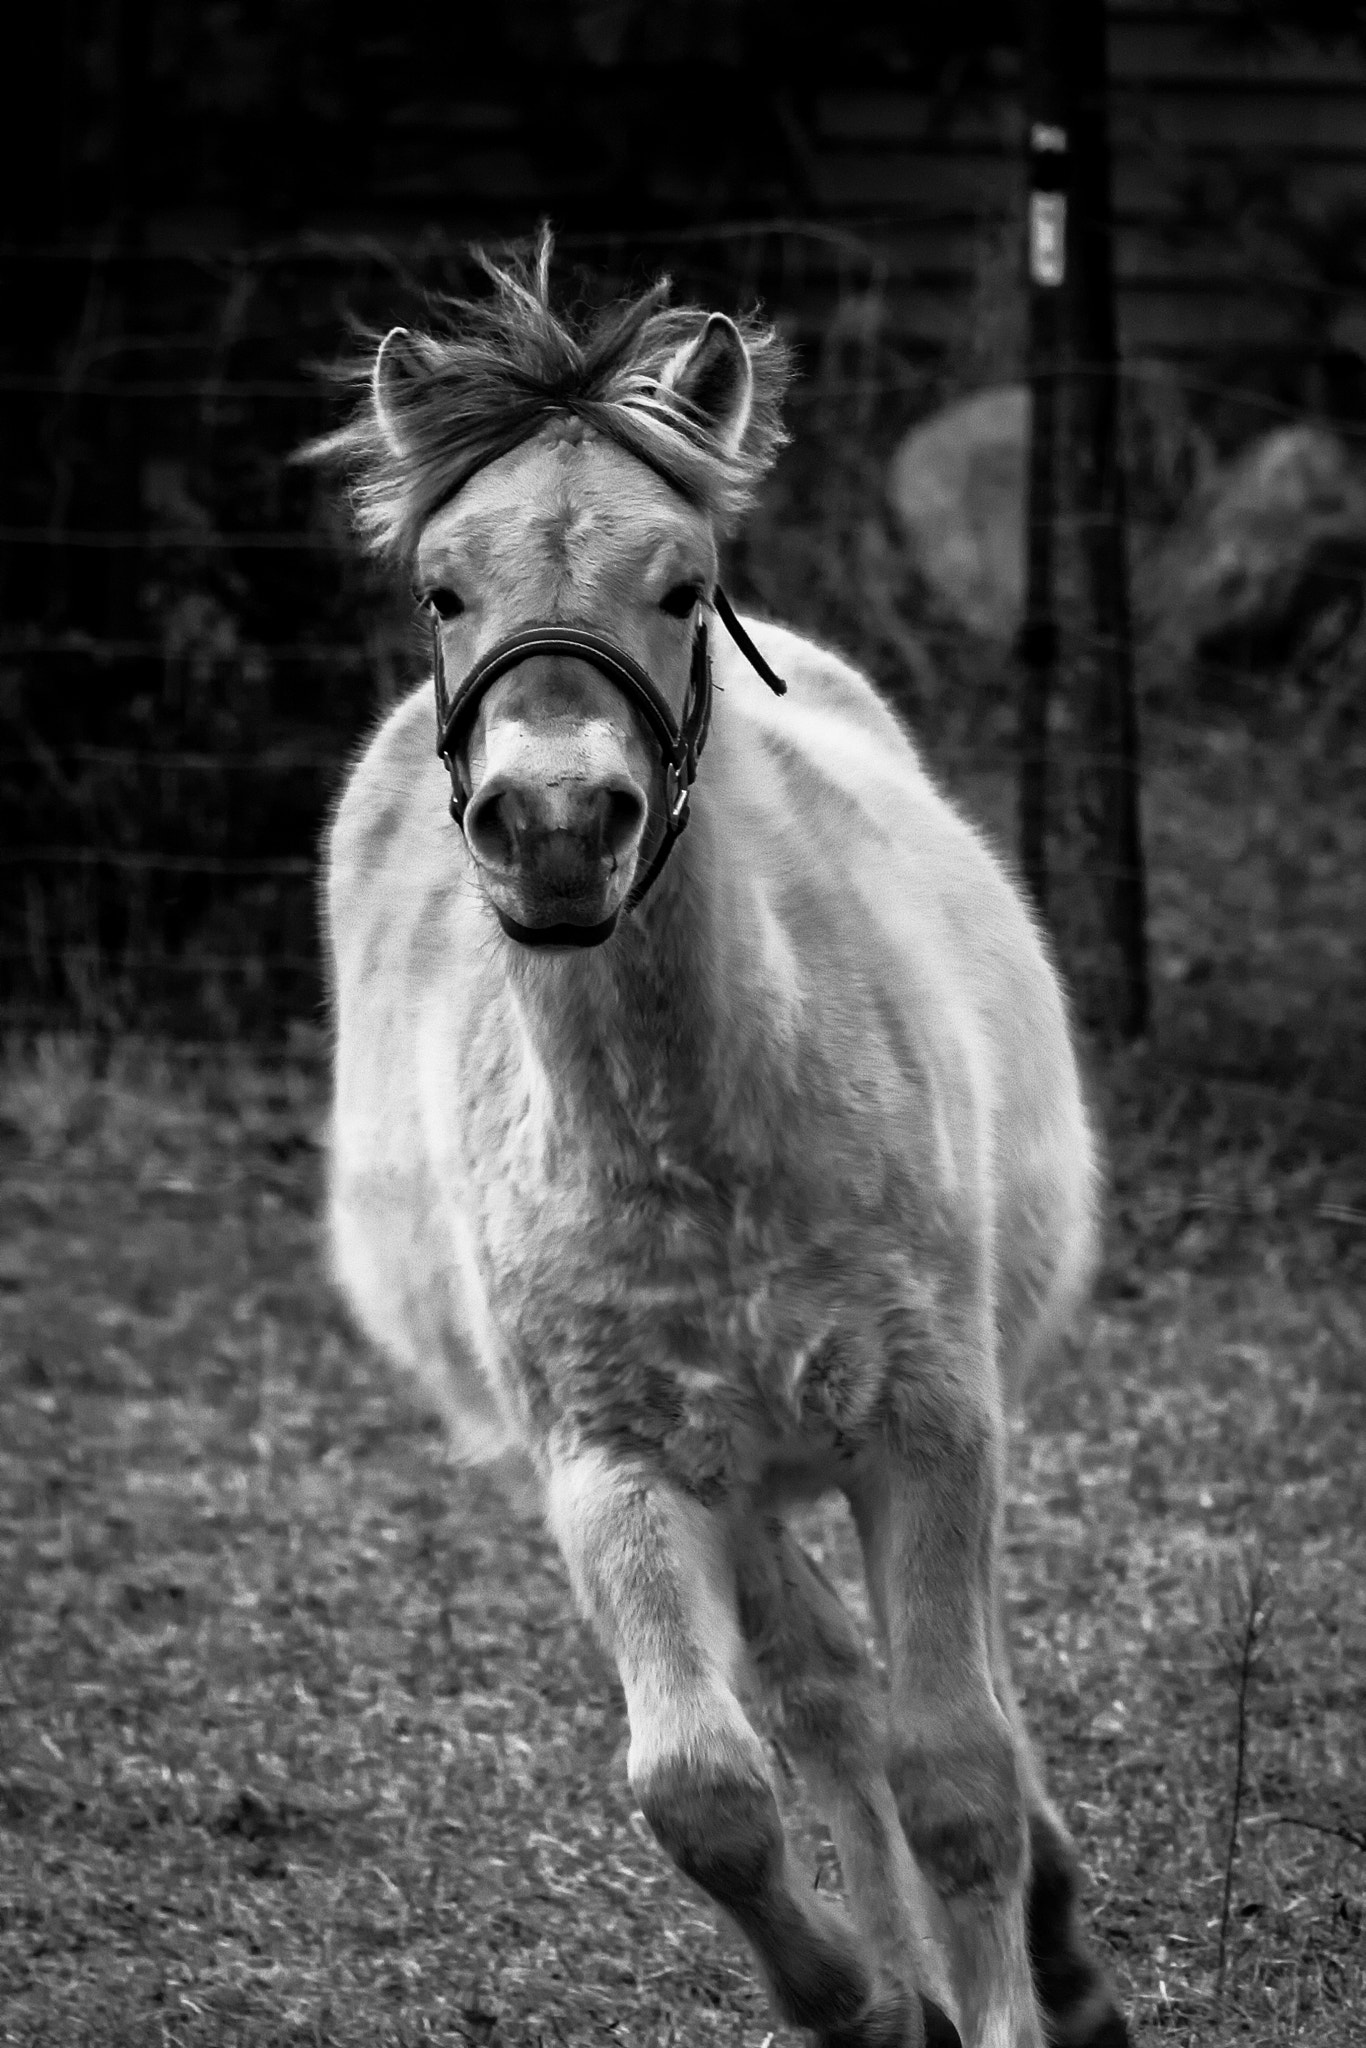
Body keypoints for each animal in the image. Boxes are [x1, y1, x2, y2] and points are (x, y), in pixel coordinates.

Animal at [310, 237, 1129, 2048]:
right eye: (441, 589)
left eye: (683, 582)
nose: (555, 826)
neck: (699, 1135)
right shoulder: (613, 1465)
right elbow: (704, 1787)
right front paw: (865, 2002)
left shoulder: (930, 1419)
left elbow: (957, 1768)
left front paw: (1003, 1993)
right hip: (734, 1477)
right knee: (818, 1691)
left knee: (945, 1698)